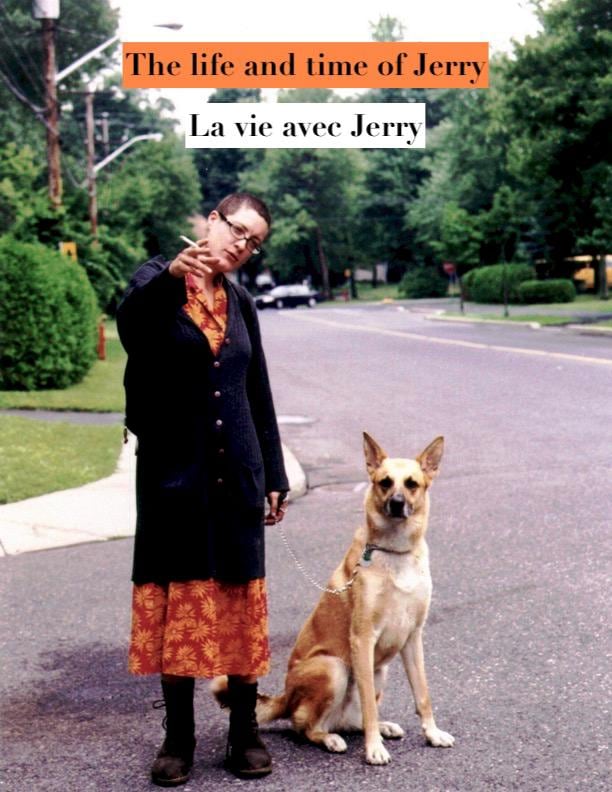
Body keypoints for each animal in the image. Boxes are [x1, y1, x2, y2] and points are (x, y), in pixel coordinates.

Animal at [213, 432, 454, 765]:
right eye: (385, 482)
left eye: (411, 484)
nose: (396, 504)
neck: (395, 553)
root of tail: (285, 697)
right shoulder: (363, 638)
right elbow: (368, 705)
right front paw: (374, 748)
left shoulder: (412, 638)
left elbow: (423, 694)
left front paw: (431, 733)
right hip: (334, 668)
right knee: (305, 727)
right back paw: (330, 738)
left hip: (380, 670)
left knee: (351, 719)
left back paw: (380, 726)